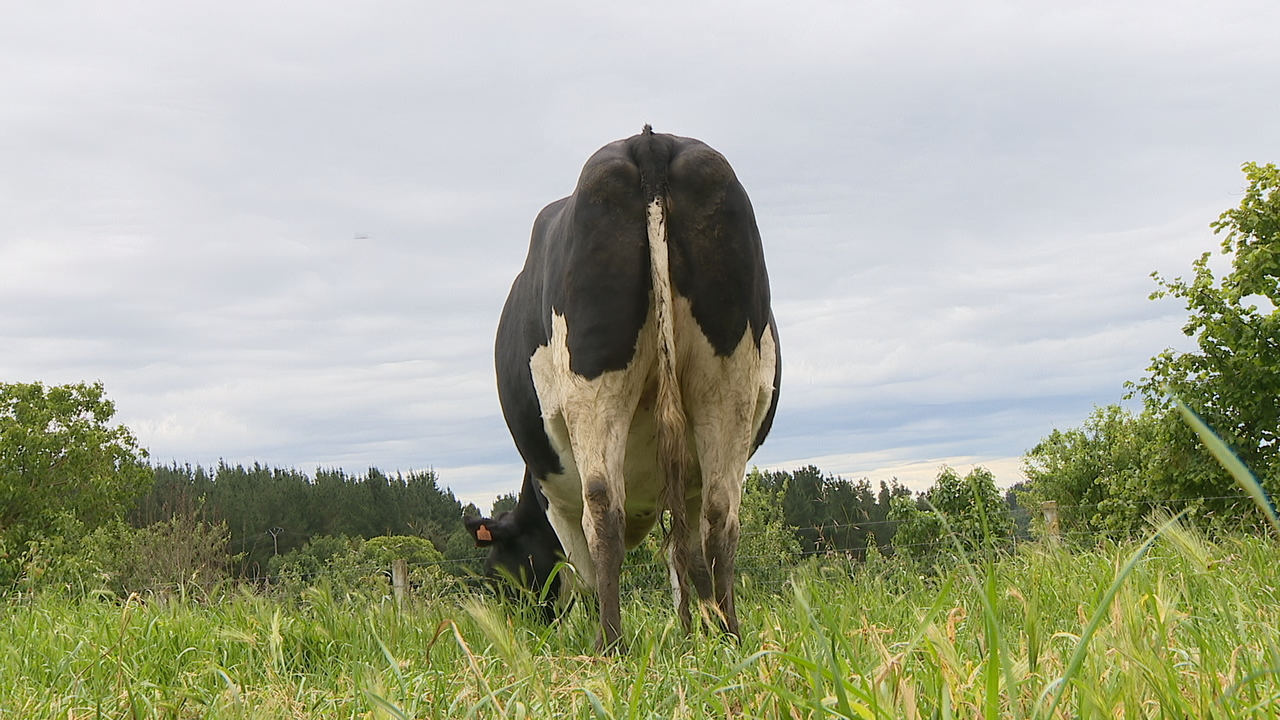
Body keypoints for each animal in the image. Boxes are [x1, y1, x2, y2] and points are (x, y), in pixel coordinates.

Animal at [465, 124, 773, 650]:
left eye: (501, 574)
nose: (526, 624)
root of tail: (650, 140)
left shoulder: (557, 501)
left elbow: (589, 569)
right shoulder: (686, 482)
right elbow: (686, 555)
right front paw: (697, 632)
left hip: (593, 385)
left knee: (604, 510)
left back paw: (609, 647)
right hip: (728, 379)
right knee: (721, 517)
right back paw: (731, 638)